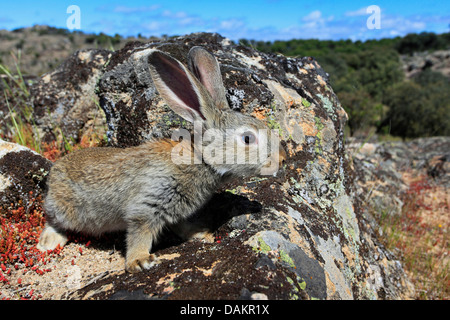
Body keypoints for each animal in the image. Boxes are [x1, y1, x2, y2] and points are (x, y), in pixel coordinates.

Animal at [37, 47, 284, 272]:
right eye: (247, 138)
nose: (279, 161)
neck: (200, 159)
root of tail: (54, 173)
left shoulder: (177, 210)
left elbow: (183, 225)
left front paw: (201, 234)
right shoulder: (146, 205)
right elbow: (140, 234)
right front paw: (139, 261)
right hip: (65, 210)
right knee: (53, 220)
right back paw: (48, 242)